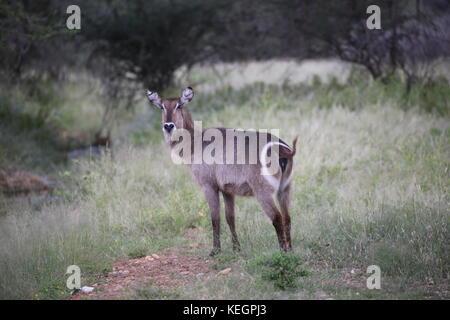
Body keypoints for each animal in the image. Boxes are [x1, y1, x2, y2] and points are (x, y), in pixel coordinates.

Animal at [146, 87, 298, 255]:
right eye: (162, 107)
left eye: (179, 105)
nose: (168, 126)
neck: (195, 143)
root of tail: (282, 149)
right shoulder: (227, 190)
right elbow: (230, 218)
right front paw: (236, 248)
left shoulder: (209, 186)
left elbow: (215, 218)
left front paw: (215, 250)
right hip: (285, 189)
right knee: (287, 217)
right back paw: (290, 249)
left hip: (263, 191)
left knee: (277, 217)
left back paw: (283, 251)